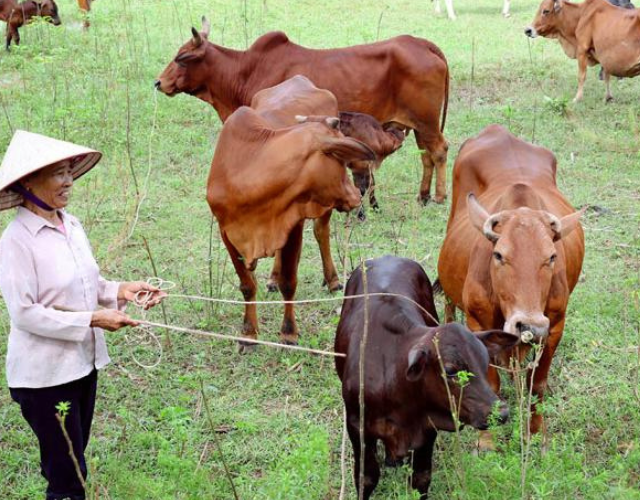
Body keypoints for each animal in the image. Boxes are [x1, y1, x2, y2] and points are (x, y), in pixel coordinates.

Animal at [154, 17, 448, 203]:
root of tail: (421, 43)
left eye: (181, 58)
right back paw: (423, 196)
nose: (158, 82)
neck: (244, 71)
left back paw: (440, 196)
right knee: (426, 156)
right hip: (418, 125)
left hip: (427, 121)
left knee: (439, 151)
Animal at [208, 79, 372, 352]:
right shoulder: (227, 232)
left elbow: (289, 281)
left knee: (321, 232)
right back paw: (272, 279)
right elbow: (247, 285)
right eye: (340, 159)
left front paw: (288, 333)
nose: (355, 196)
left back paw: (332, 279)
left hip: (321, 208)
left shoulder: (293, 224)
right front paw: (249, 334)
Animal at [336, 256, 520, 498]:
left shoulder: (427, 431)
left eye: (484, 360)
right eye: (450, 370)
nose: (502, 412)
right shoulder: (357, 427)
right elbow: (366, 478)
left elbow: (421, 479)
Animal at [436, 124, 584, 446]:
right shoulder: (478, 324)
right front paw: (486, 440)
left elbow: (537, 385)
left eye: (551, 256)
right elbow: (489, 382)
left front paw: (537, 434)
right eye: (499, 255)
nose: (528, 325)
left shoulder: (554, 327)